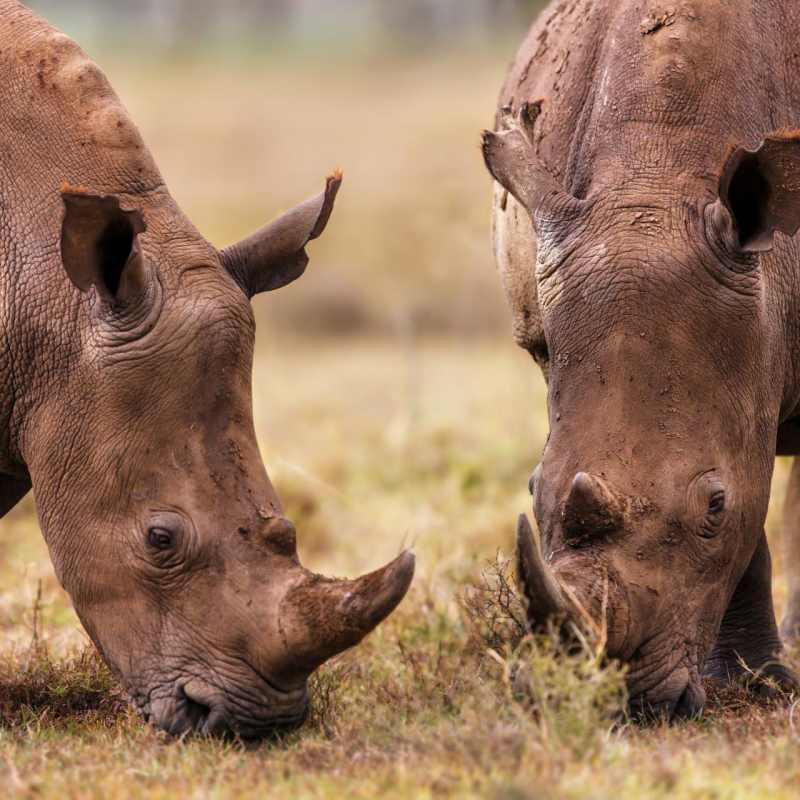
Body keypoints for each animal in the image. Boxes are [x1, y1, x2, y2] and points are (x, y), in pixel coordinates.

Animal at [484, 0, 800, 717]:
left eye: (714, 508)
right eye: (532, 489)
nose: (617, 701)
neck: (655, 174)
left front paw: (767, 686)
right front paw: (755, 683)